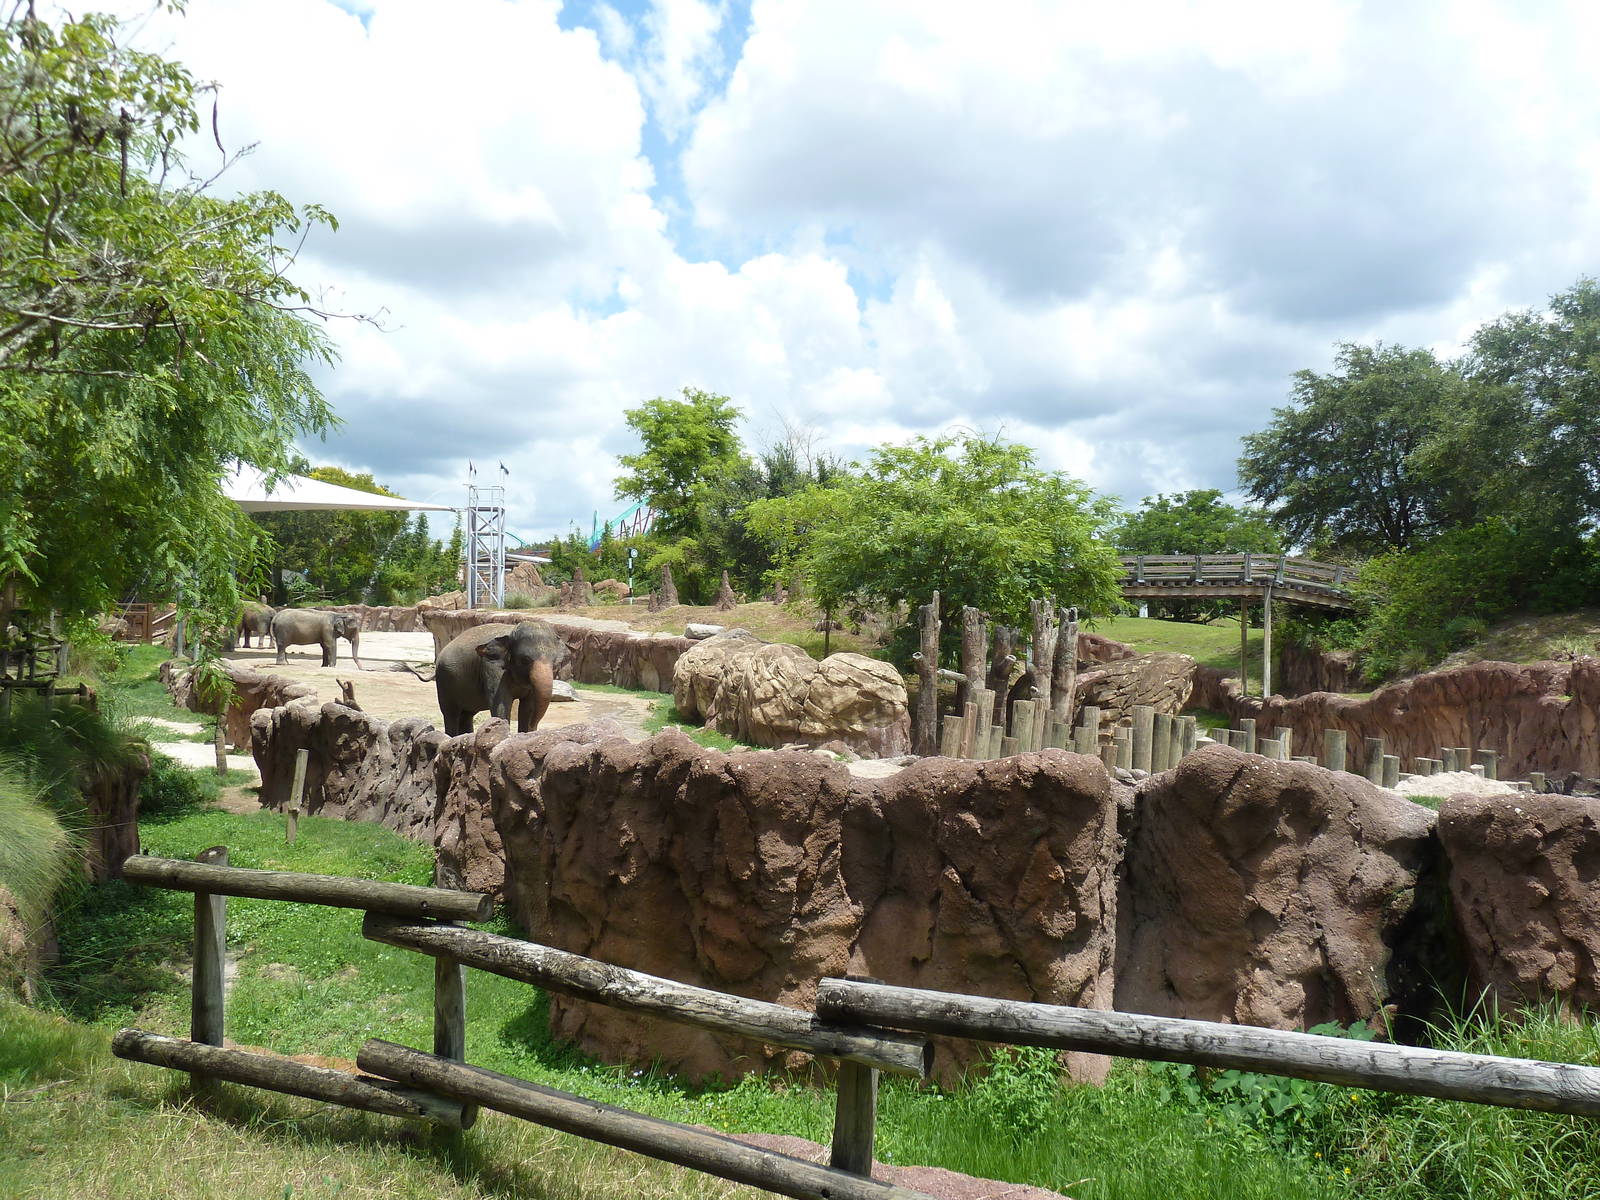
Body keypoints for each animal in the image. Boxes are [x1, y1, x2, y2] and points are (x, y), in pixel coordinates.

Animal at [434, 620, 565, 736]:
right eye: (525, 660)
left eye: (555, 664)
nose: (533, 727)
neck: (511, 632)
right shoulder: (492, 668)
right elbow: (501, 704)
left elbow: (528, 706)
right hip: (444, 680)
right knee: (451, 713)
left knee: (467, 714)